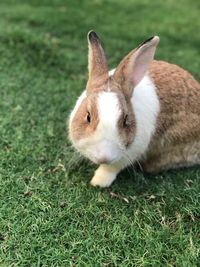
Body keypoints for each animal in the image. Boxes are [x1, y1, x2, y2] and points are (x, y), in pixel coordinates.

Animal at [67, 30, 200, 188]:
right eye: (88, 117)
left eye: (126, 120)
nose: (104, 156)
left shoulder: (130, 153)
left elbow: (110, 169)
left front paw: (98, 182)